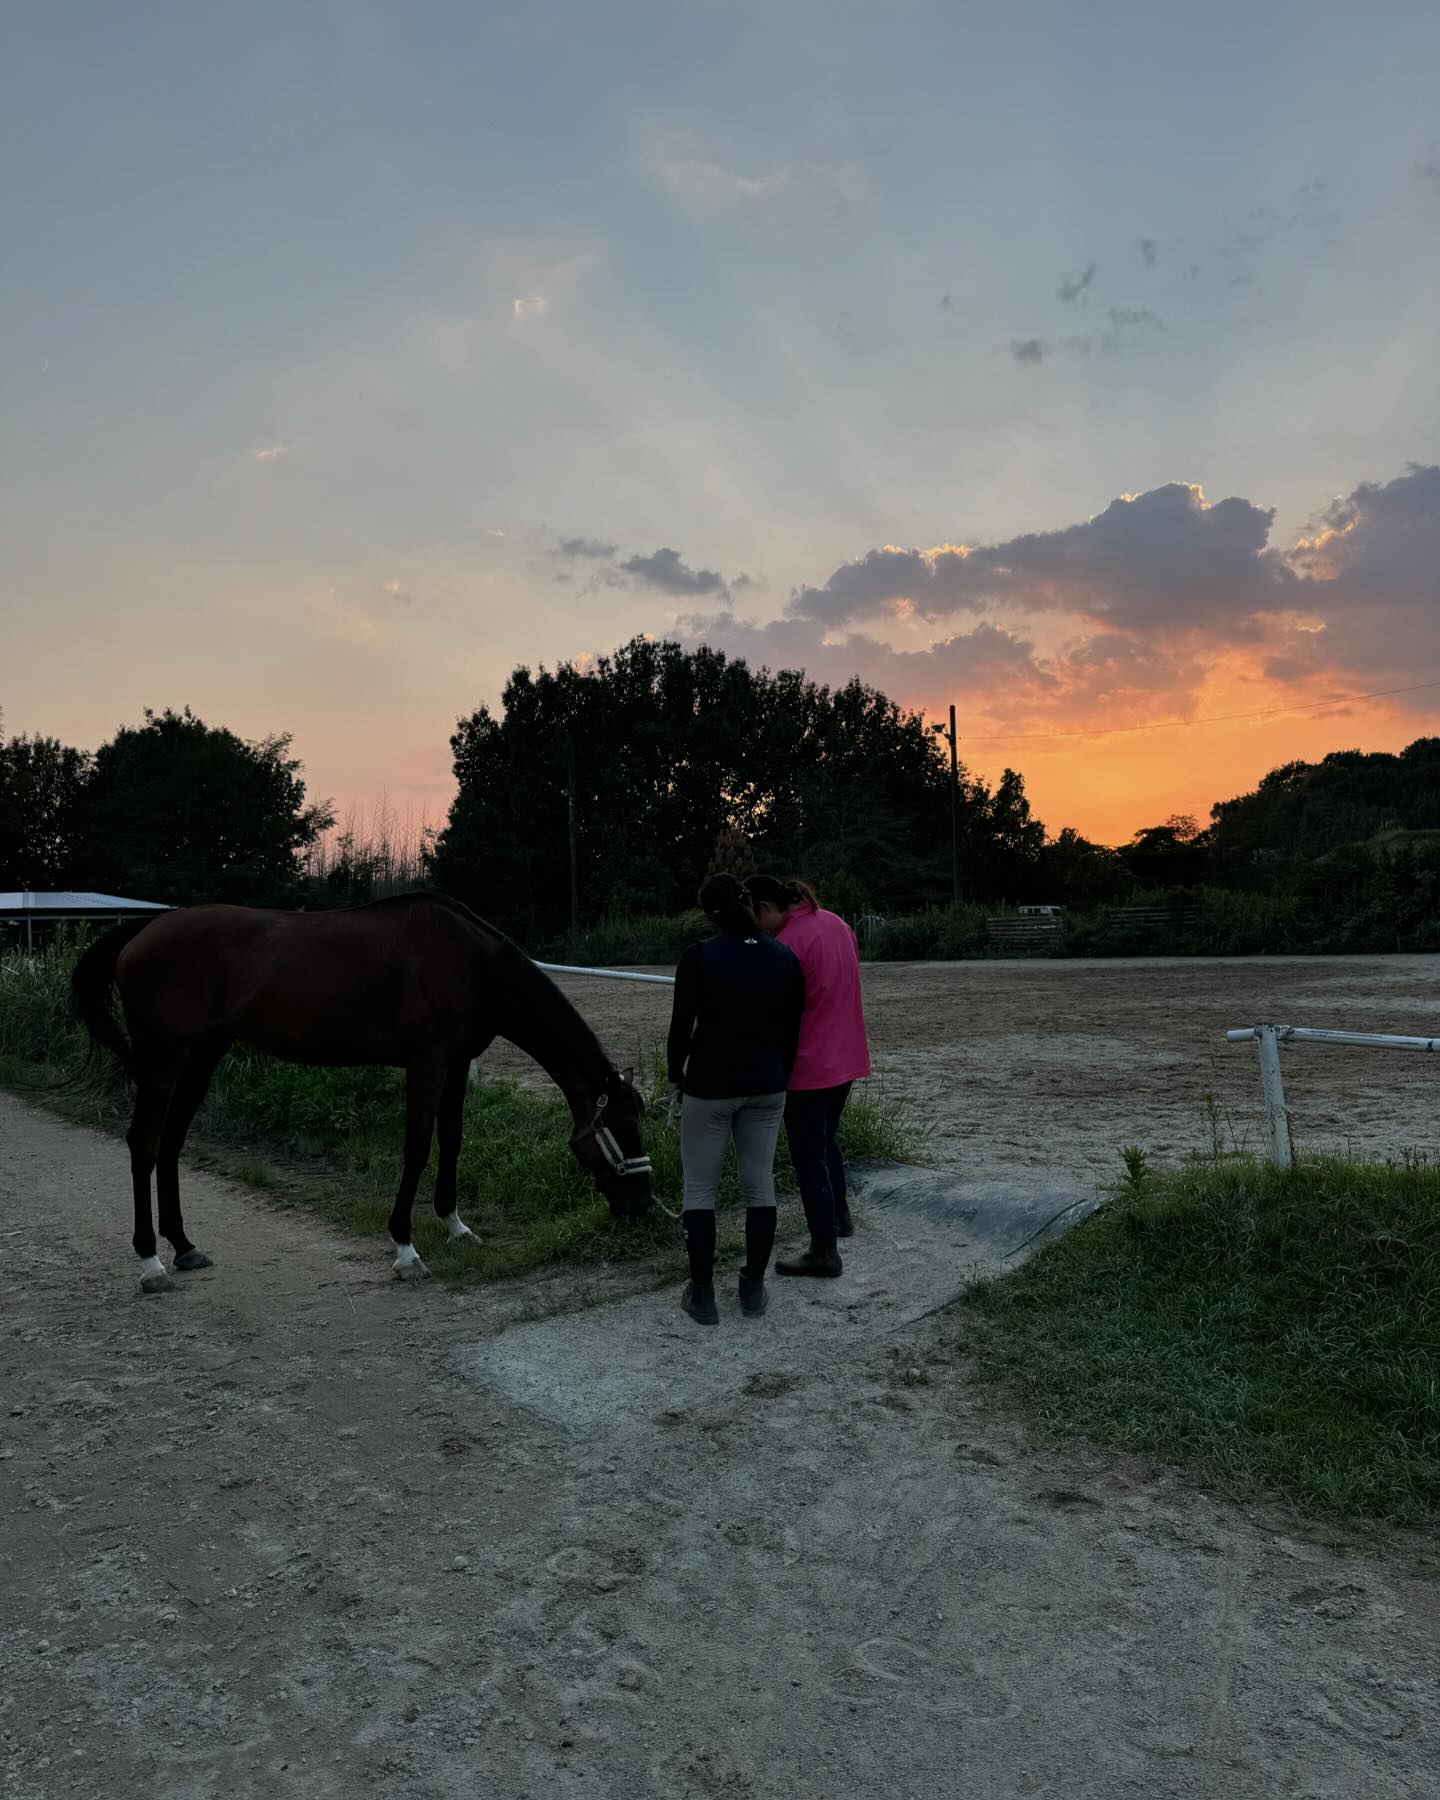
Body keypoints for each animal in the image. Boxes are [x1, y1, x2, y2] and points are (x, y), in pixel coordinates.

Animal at [68, 889, 651, 1288]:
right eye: (621, 1128)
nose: (642, 1205)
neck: (471, 962)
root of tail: (147, 927)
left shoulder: (458, 1062)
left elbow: (453, 1138)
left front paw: (455, 1225)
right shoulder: (426, 1061)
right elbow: (417, 1146)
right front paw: (406, 1248)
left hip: (202, 1055)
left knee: (170, 1142)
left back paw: (185, 1246)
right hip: (163, 1058)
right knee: (144, 1143)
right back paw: (150, 1262)